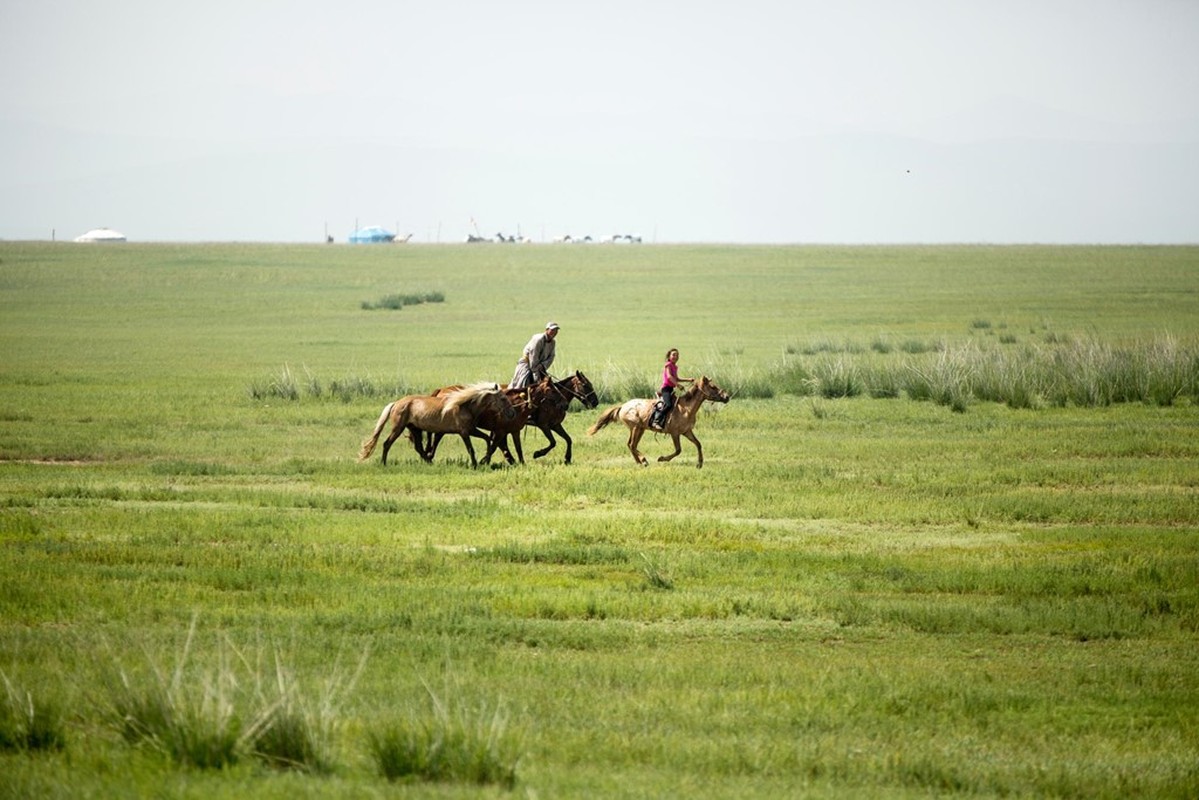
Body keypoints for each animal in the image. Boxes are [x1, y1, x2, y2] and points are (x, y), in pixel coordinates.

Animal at [352, 383, 508, 470]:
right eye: (503, 398)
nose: (511, 413)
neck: (465, 406)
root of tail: (396, 403)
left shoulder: (471, 430)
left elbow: (487, 439)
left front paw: (485, 460)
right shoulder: (464, 432)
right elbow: (471, 449)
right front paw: (475, 465)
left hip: (414, 429)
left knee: (418, 448)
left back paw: (429, 462)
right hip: (398, 428)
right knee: (387, 443)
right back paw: (384, 463)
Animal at [587, 376, 728, 470]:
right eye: (713, 387)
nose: (726, 396)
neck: (686, 408)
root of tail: (623, 406)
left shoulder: (687, 431)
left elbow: (698, 444)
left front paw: (699, 463)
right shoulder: (675, 433)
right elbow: (678, 450)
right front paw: (662, 459)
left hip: (639, 429)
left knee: (631, 445)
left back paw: (639, 462)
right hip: (636, 428)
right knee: (632, 445)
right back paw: (644, 461)